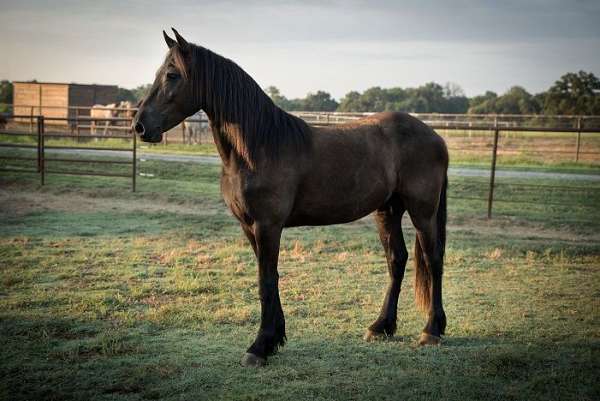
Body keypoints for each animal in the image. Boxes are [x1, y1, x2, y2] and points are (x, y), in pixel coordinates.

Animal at [134, 27, 448, 366]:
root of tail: (435, 136)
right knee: (397, 259)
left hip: (422, 211)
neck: (258, 147)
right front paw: (274, 338)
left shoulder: (267, 225)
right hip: (387, 210)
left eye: (172, 75)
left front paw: (259, 346)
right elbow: (269, 277)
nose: (140, 126)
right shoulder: (249, 227)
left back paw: (432, 330)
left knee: (433, 258)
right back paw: (381, 326)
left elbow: (266, 280)